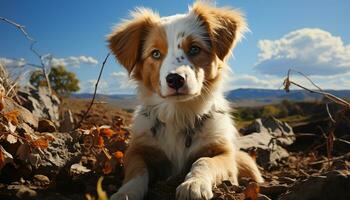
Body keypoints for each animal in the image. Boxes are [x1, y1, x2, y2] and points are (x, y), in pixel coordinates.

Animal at [108, 1, 264, 200]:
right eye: (155, 53)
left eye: (195, 49)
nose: (175, 79)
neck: (179, 113)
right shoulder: (137, 148)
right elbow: (137, 170)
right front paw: (126, 192)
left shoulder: (224, 152)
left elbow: (204, 161)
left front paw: (194, 184)